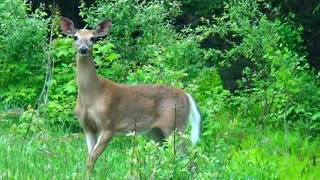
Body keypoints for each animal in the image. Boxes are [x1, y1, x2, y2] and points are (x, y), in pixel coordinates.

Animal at [58, 16, 201, 174]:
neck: (92, 96)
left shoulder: (109, 125)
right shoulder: (87, 127)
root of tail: (187, 95)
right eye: (75, 37)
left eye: (93, 38)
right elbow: (89, 158)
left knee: (189, 158)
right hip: (155, 131)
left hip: (175, 124)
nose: (83, 49)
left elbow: (91, 159)